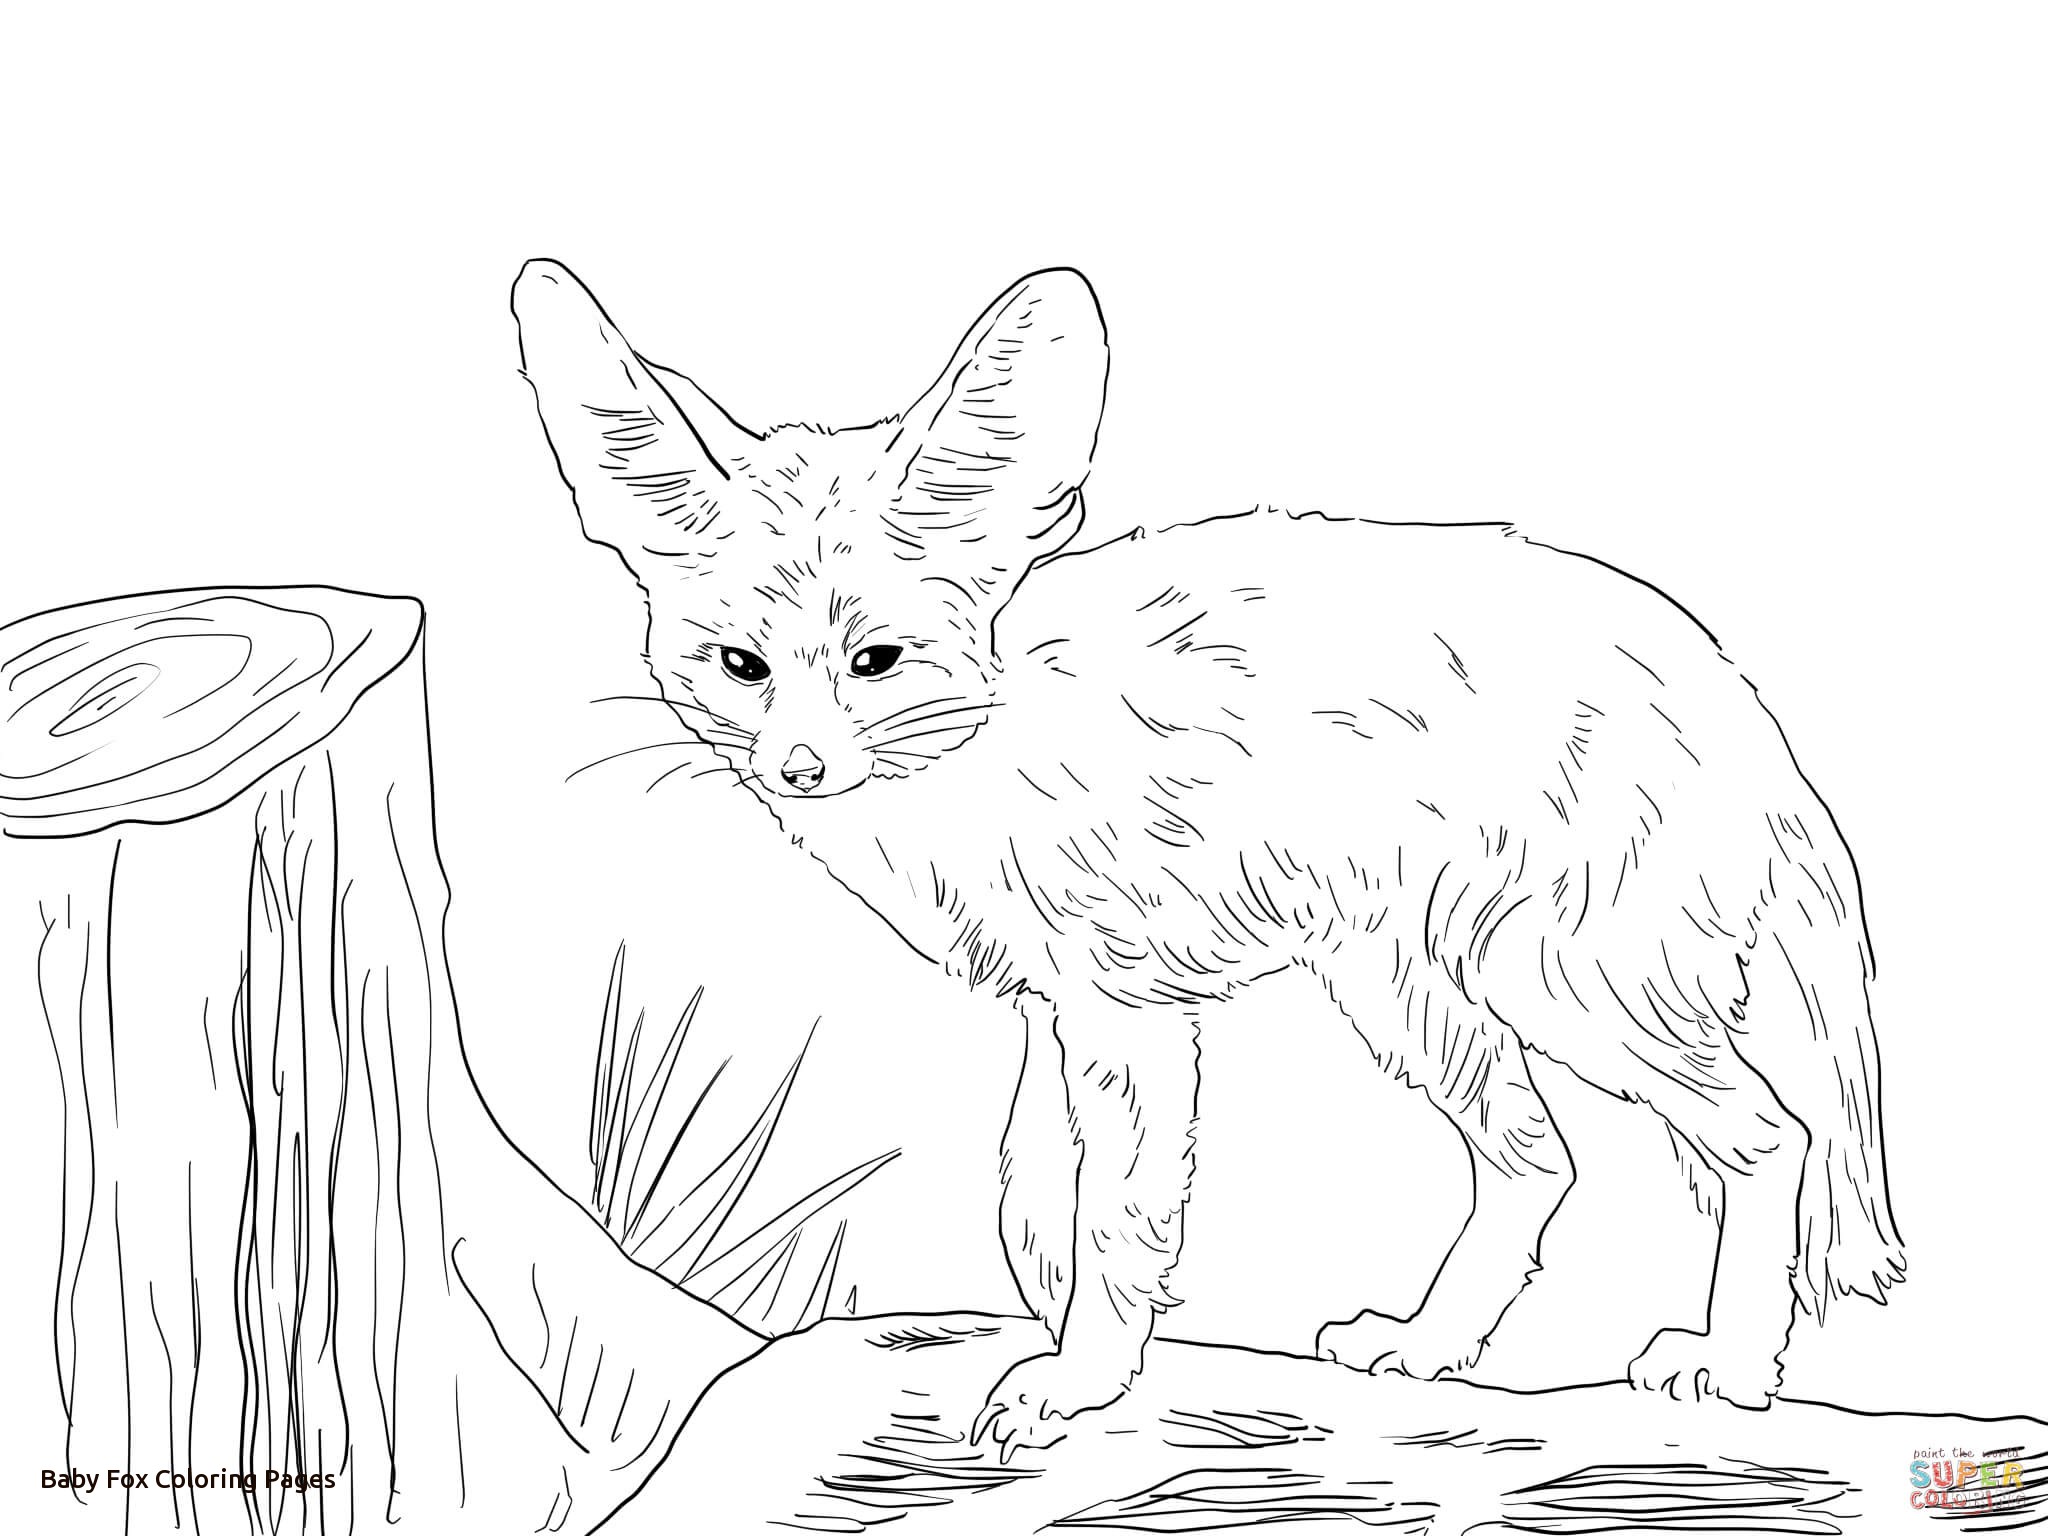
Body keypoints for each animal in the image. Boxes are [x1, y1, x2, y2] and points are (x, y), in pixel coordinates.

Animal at [511, 259, 1903, 1453]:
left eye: (877, 661)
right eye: (739, 666)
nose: (797, 769)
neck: (986, 751)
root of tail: (1729, 694)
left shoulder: (1124, 1010)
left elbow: (1114, 1210)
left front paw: (1078, 1379)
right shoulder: (1056, 1005)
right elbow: (1032, 1194)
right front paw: (1071, 1336)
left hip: (1566, 990)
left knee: (1768, 1137)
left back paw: (1729, 1368)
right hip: (1411, 998)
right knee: (1536, 1155)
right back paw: (1431, 1343)